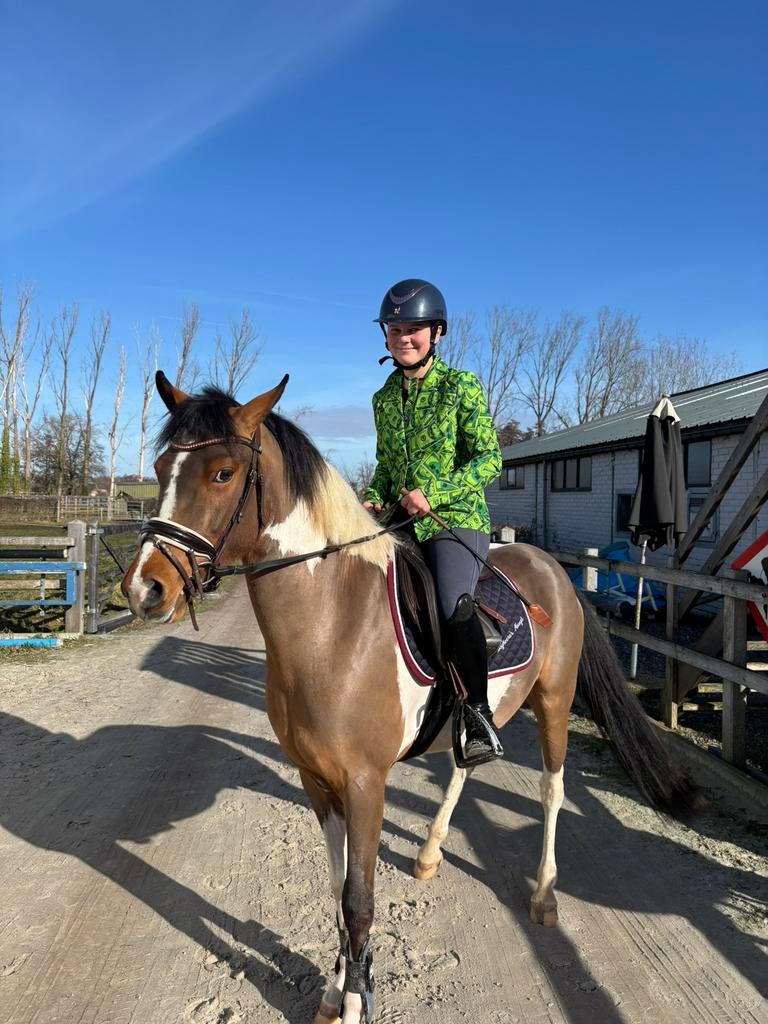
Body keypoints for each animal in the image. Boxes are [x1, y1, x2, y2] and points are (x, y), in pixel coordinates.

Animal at [122, 373, 698, 1024]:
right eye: (161, 467)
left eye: (222, 473)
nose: (144, 589)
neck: (332, 625)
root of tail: (552, 567)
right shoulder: (315, 780)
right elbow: (335, 887)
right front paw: (333, 992)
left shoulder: (365, 782)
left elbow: (359, 900)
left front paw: (355, 1001)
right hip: (485, 710)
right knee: (465, 764)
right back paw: (429, 852)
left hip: (554, 701)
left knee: (552, 790)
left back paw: (545, 896)